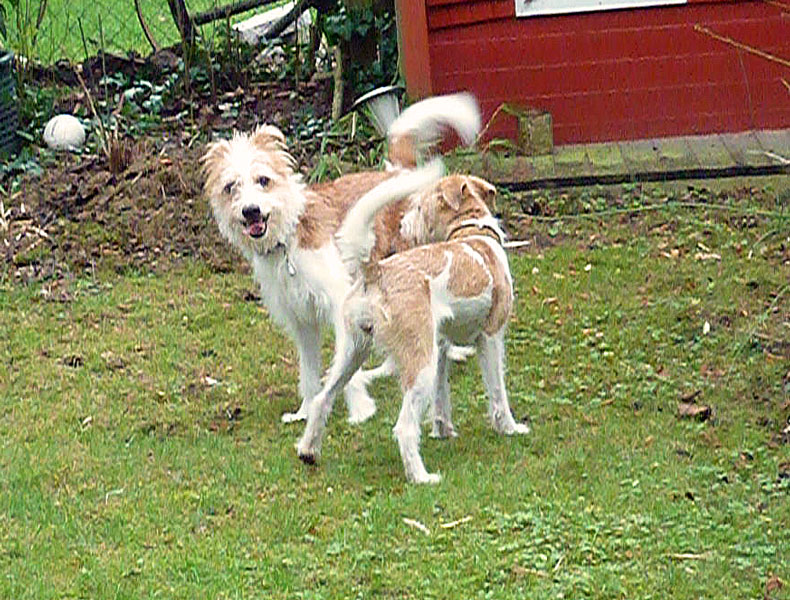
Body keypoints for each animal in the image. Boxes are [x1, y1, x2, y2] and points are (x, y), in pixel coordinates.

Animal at [202, 93, 481, 424]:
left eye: (263, 180)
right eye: (230, 187)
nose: (251, 211)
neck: (288, 241)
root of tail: (398, 171)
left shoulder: (339, 304)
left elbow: (345, 370)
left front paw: (360, 409)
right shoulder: (302, 323)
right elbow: (309, 373)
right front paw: (306, 411)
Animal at [296, 172, 530, 484]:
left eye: (419, 207)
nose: (404, 226)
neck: (471, 233)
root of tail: (375, 271)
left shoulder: (440, 346)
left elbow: (441, 398)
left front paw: (443, 431)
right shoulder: (490, 337)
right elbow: (498, 392)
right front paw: (509, 428)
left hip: (354, 353)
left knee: (321, 399)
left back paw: (308, 451)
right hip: (420, 368)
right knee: (404, 427)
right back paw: (421, 477)